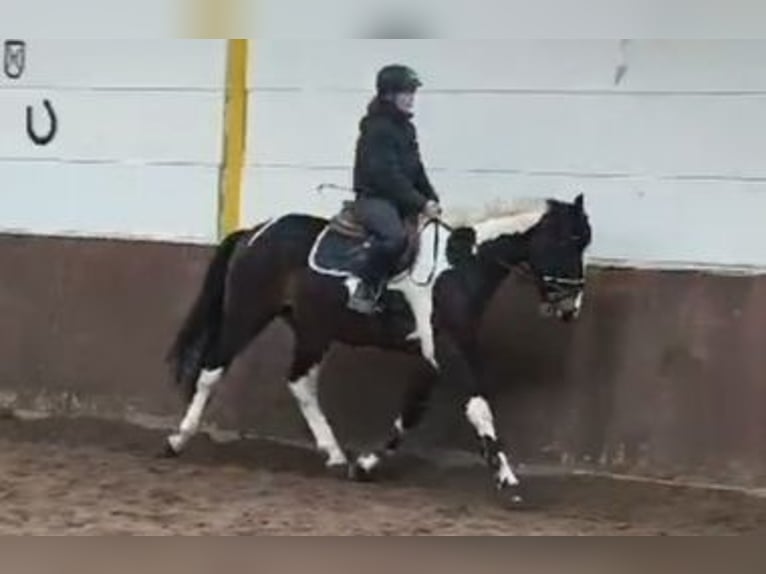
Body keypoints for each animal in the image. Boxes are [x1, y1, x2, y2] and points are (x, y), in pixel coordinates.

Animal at [164, 195, 592, 508]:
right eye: (564, 242)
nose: (570, 308)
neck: (457, 267)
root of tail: (254, 232)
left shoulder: (432, 355)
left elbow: (411, 413)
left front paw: (366, 464)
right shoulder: (451, 350)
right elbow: (478, 409)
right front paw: (509, 481)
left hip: (313, 330)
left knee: (300, 383)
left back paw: (335, 455)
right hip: (247, 313)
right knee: (212, 371)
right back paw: (178, 440)